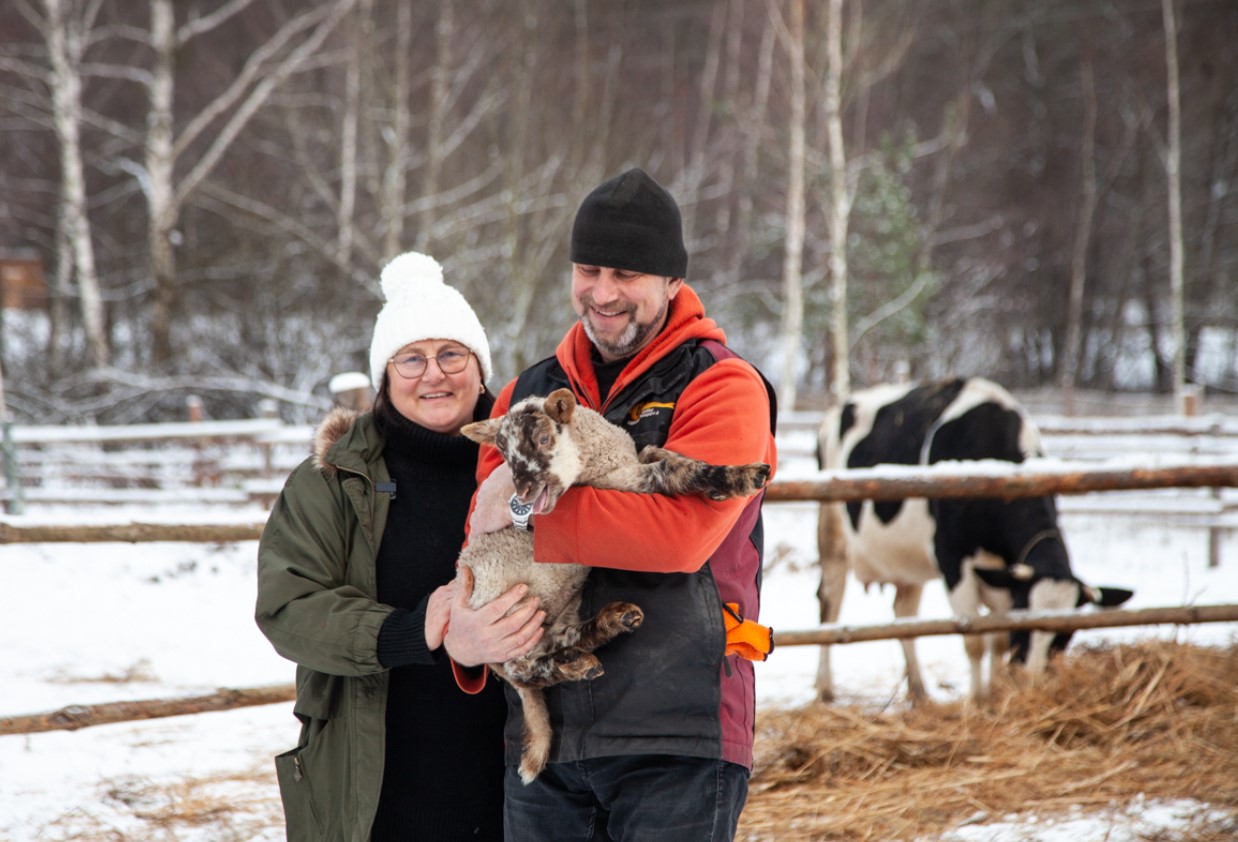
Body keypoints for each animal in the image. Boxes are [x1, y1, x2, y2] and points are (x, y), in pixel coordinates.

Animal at [817, 378, 1134, 698]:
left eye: (1065, 634)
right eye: (1024, 617)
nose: (1033, 683)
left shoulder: (1003, 577)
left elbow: (998, 639)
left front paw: (995, 693)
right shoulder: (952, 559)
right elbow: (974, 640)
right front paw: (976, 701)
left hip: (906, 558)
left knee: (904, 614)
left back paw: (919, 693)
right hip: (832, 533)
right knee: (830, 604)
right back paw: (825, 687)